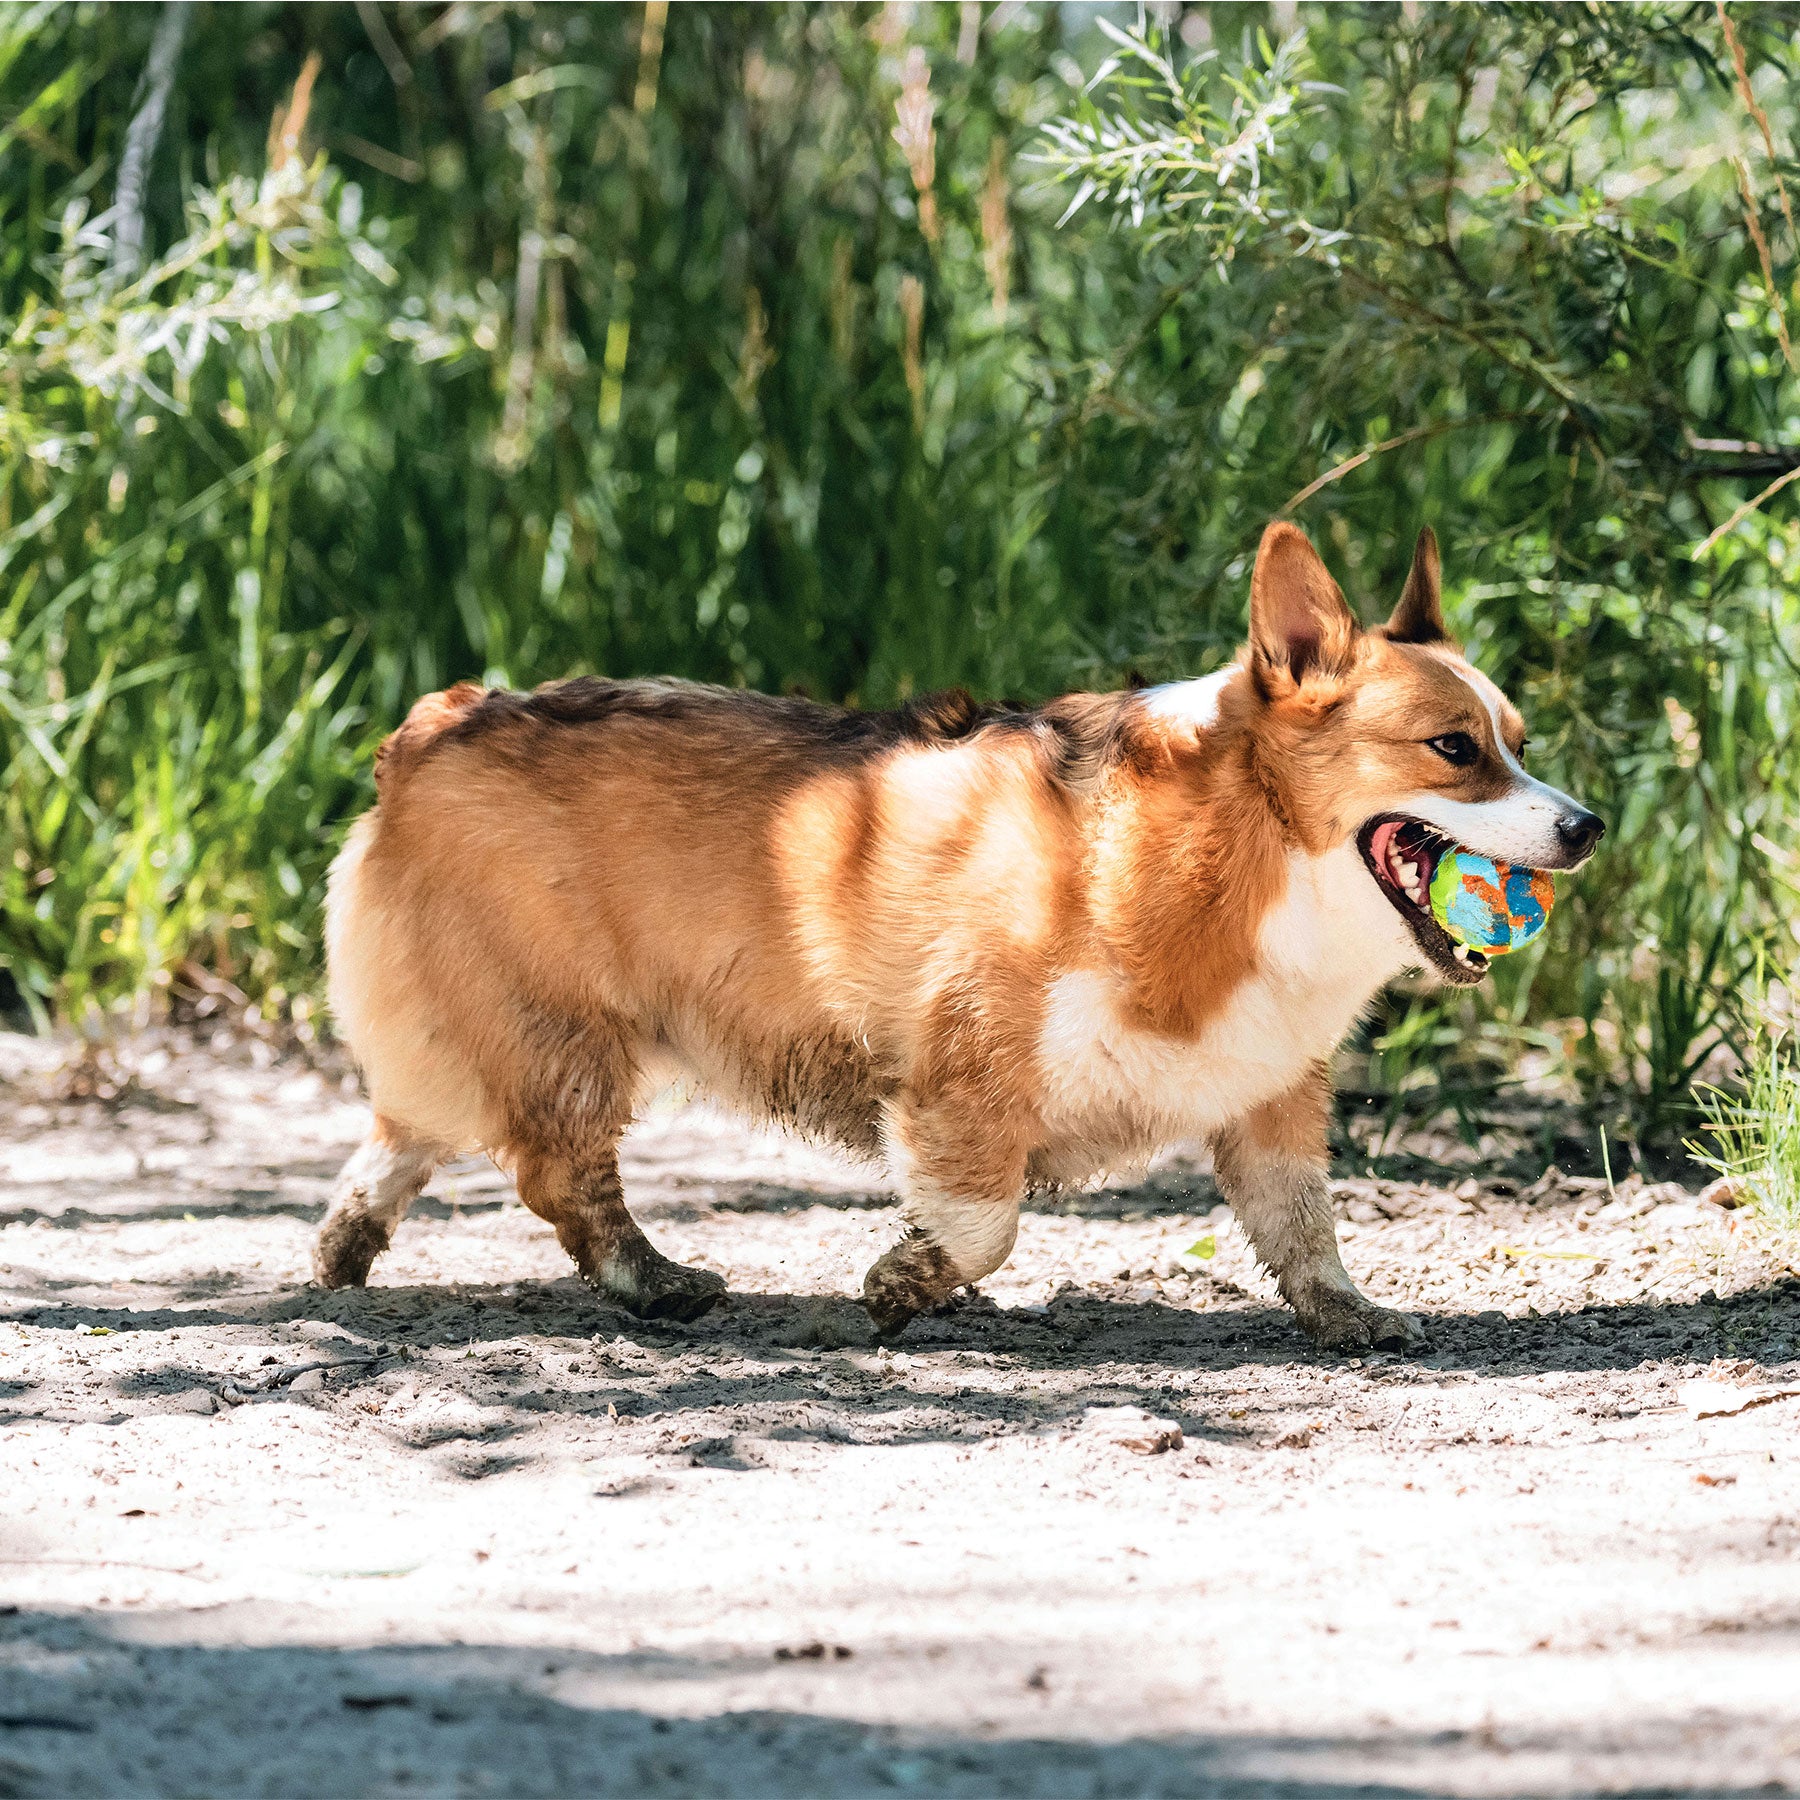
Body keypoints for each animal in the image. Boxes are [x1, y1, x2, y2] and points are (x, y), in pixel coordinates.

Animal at [316, 522, 1598, 1353]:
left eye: (1520, 741)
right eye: (1453, 749)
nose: (1586, 828)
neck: (1239, 850)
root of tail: (435, 723)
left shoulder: (1271, 1099)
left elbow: (1303, 1227)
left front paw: (1352, 1316)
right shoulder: (961, 1077)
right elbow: (985, 1222)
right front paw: (905, 1284)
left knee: (403, 1135)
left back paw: (344, 1252)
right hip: (569, 1038)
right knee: (558, 1173)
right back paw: (658, 1283)